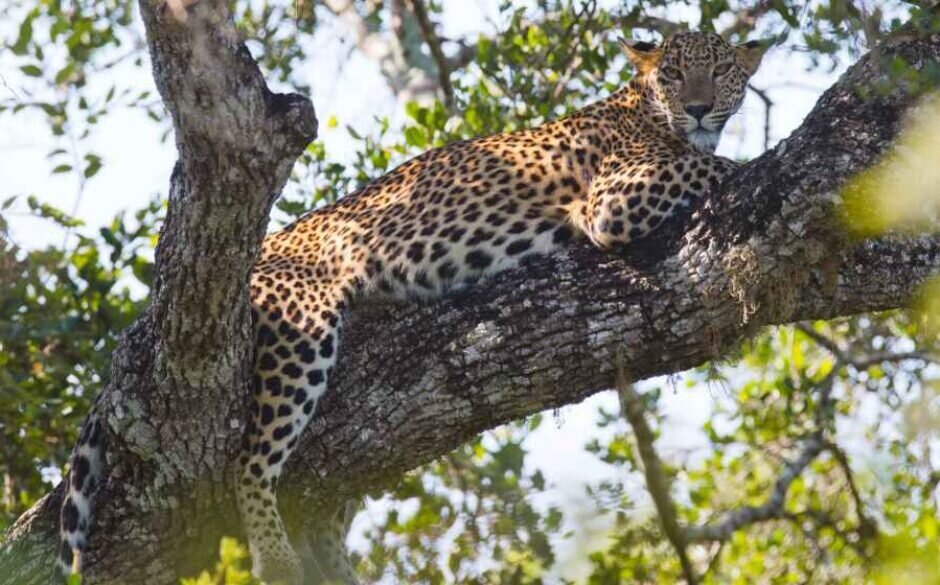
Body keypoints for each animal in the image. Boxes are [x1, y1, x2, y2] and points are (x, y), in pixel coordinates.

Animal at [57, 32, 764, 584]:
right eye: (673, 74)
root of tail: (266, 248)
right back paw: (275, 557)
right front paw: (741, 160)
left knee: (328, 502)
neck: (645, 107)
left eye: (721, 71)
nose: (699, 108)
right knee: (250, 461)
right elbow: (709, 166)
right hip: (301, 327)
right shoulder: (612, 201)